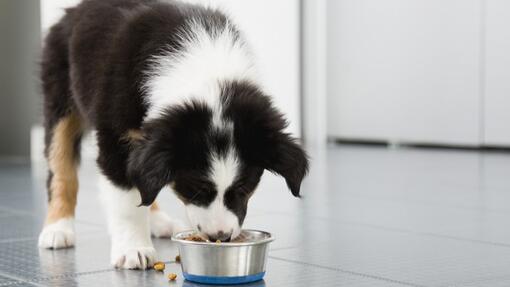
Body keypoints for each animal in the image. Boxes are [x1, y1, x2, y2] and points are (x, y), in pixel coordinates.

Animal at [37, 0, 308, 270]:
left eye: (244, 187)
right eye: (196, 187)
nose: (220, 237)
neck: (205, 71)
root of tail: (75, 9)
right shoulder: (116, 137)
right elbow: (126, 200)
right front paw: (133, 249)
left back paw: (160, 222)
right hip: (60, 97)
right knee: (61, 168)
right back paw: (57, 229)